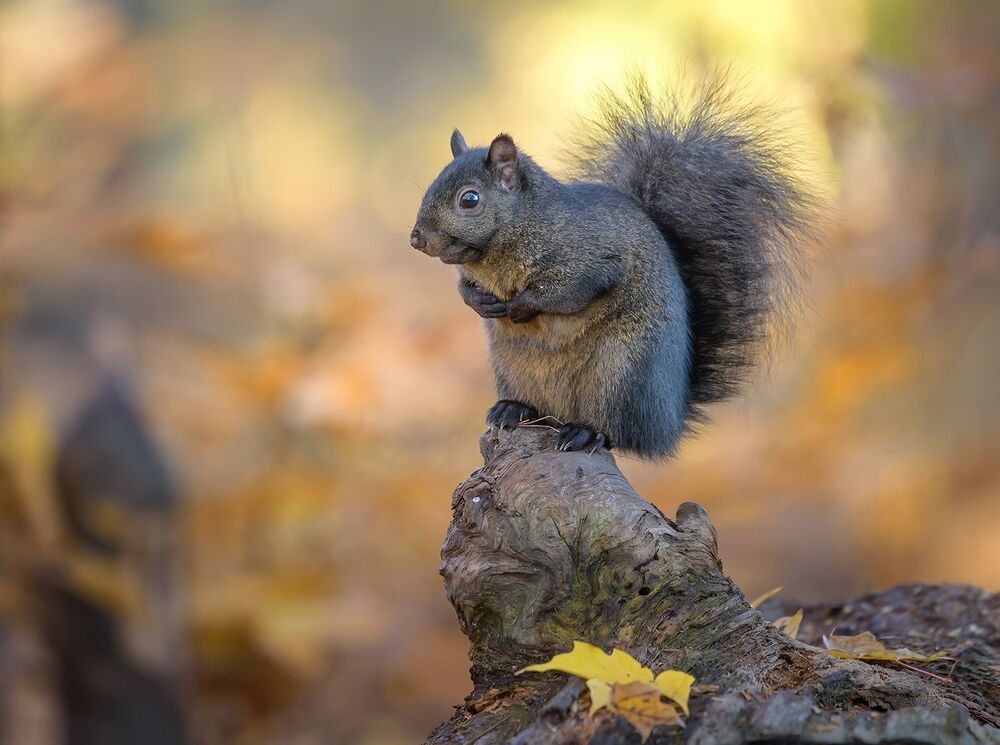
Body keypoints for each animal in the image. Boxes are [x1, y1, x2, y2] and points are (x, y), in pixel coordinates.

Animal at [409, 76, 813, 459]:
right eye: (433, 183)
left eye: (469, 199)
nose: (417, 239)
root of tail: (667, 422)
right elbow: (465, 287)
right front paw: (478, 301)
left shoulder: (592, 260)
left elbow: (568, 291)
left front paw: (521, 305)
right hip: (513, 368)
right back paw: (514, 409)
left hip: (619, 375)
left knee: (616, 432)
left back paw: (586, 432)